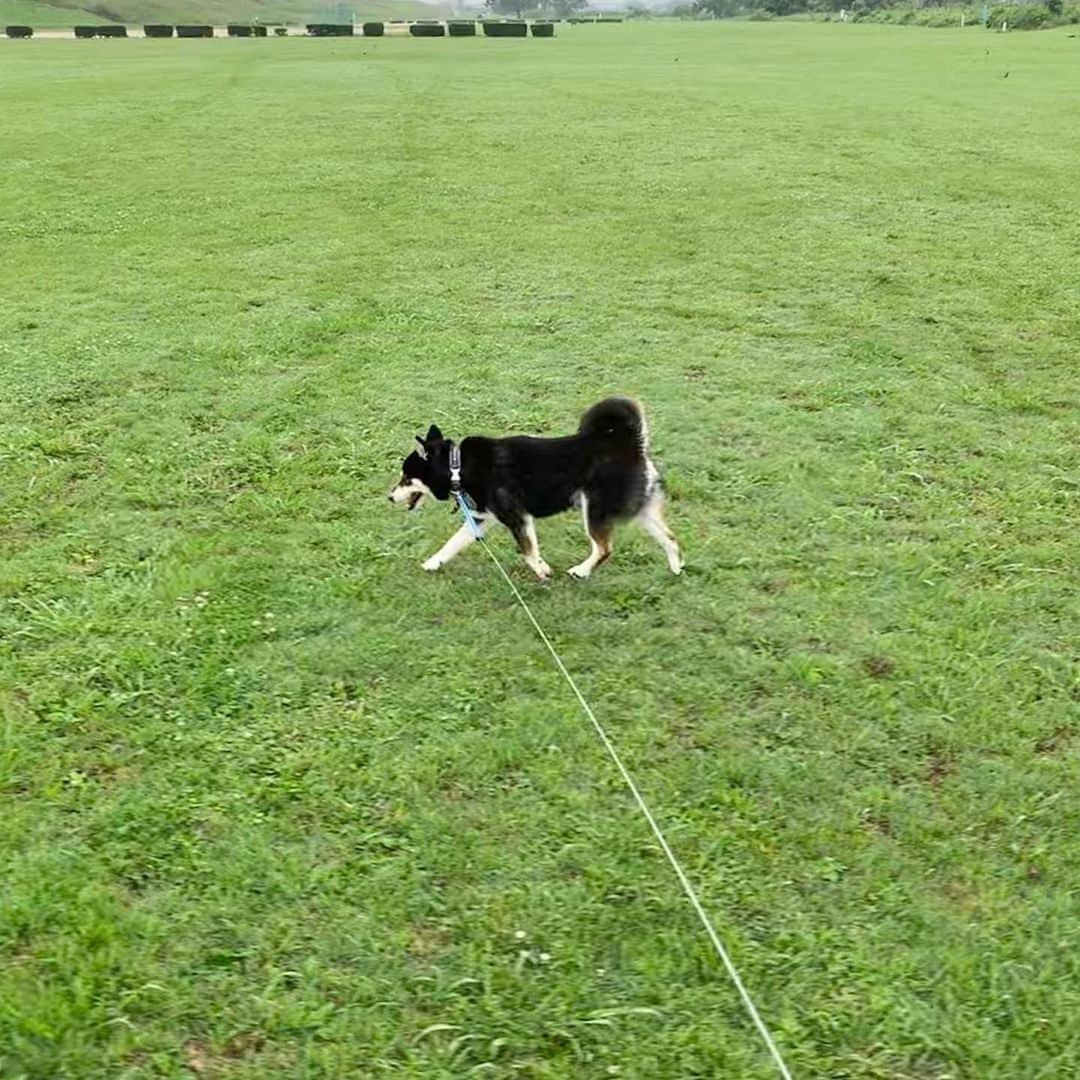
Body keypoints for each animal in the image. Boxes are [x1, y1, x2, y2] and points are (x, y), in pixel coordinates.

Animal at [388, 399, 682, 583]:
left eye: (406, 478)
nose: (389, 496)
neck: (457, 467)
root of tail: (631, 444)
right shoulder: (482, 520)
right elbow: (452, 543)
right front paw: (432, 563)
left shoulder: (516, 517)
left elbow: (528, 552)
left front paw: (542, 572)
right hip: (639, 510)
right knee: (670, 538)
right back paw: (676, 567)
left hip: (594, 510)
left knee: (604, 549)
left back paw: (581, 571)